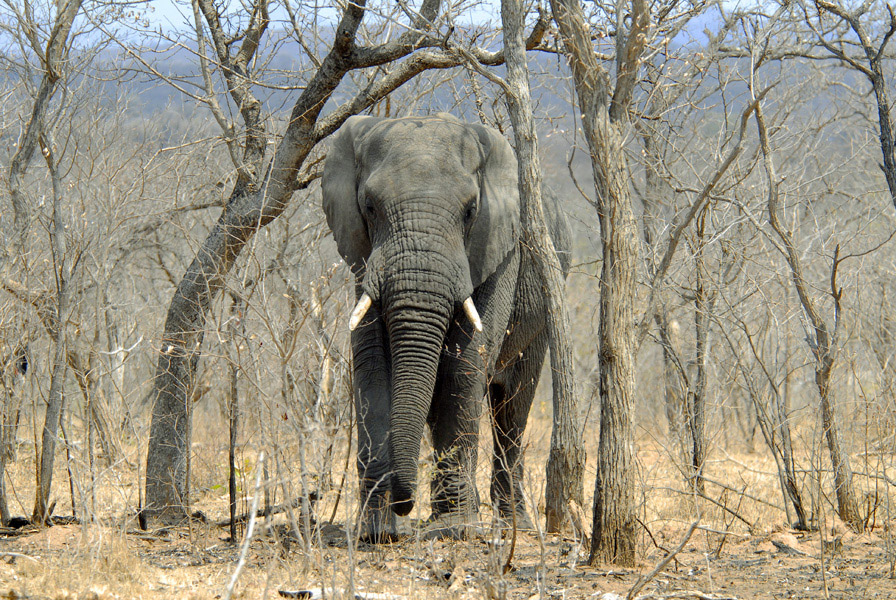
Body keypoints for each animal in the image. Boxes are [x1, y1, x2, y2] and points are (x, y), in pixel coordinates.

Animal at [322, 113, 572, 544]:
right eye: (369, 207)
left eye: (471, 210)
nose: (405, 504)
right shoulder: (363, 258)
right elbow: (371, 366)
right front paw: (375, 533)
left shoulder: (500, 250)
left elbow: (464, 363)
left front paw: (455, 531)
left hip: (542, 305)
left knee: (512, 410)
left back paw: (515, 527)